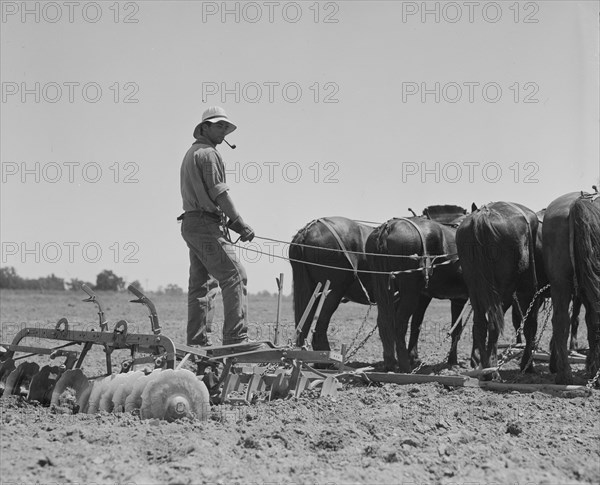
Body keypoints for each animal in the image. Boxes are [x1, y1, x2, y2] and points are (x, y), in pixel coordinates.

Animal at [366, 204, 468, 370]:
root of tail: (388, 228)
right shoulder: (462, 298)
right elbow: (462, 328)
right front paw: (454, 362)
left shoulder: (426, 296)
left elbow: (417, 324)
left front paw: (414, 357)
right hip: (409, 294)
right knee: (399, 323)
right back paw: (404, 366)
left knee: (384, 321)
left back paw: (391, 362)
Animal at [454, 200, 544, 374]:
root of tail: (483, 215)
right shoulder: (529, 292)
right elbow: (530, 324)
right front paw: (527, 364)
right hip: (506, 291)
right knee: (495, 324)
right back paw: (491, 368)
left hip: (477, 289)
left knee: (480, 324)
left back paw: (484, 366)